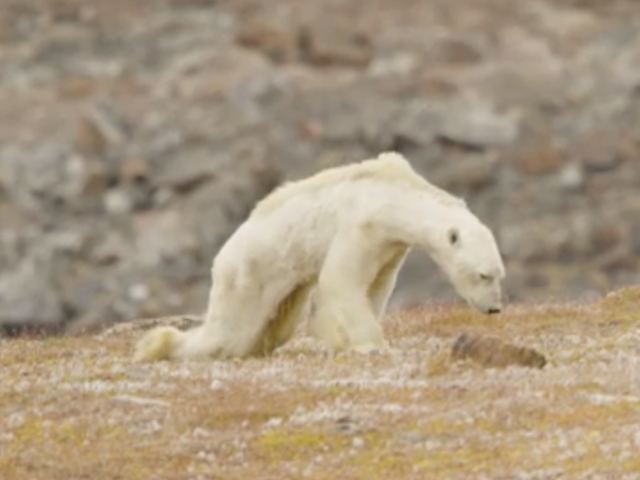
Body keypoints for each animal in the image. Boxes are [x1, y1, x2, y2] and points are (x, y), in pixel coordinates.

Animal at [135, 152, 504, 362]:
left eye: (500, 274)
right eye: (483, 275)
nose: (494, 309)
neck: (393, 194)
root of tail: (221, 258)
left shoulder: (390, 245)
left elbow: (375, 287)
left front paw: (339, 340)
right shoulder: (361, 225)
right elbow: (341, 281)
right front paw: (372, 346)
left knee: (273, 328)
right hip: (248, 273)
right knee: (229, 333)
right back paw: (158, 345)